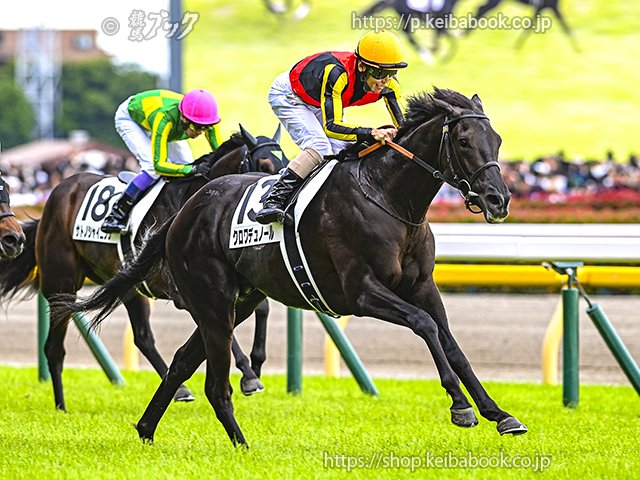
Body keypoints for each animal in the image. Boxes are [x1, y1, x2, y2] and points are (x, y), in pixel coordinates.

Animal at [0, 125, 287, 412]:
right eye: (264, 163)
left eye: (285, 161)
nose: (273, 201)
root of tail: (55, 197)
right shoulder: (185, 292)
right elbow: (218, 328)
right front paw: (249, 376)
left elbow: (261, 308)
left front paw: (256, 364)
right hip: (62, 284)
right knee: (55, 348)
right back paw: (61, 407)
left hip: (128, 287)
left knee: (142, 337)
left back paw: (179, 389)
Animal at [61, 87, 528, 446]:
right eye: (464, 141)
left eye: (498, 139)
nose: (498, 200)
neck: (388, 197)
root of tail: (184, 211)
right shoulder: (361, 292)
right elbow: (425, 326)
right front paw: (461, 407)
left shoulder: (423, 287)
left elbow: (451, 343)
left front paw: (499, 413)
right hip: (210, 298)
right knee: (212, 380)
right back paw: (241, 445)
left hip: (236, 301)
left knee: (181, 361)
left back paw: (146, 428)